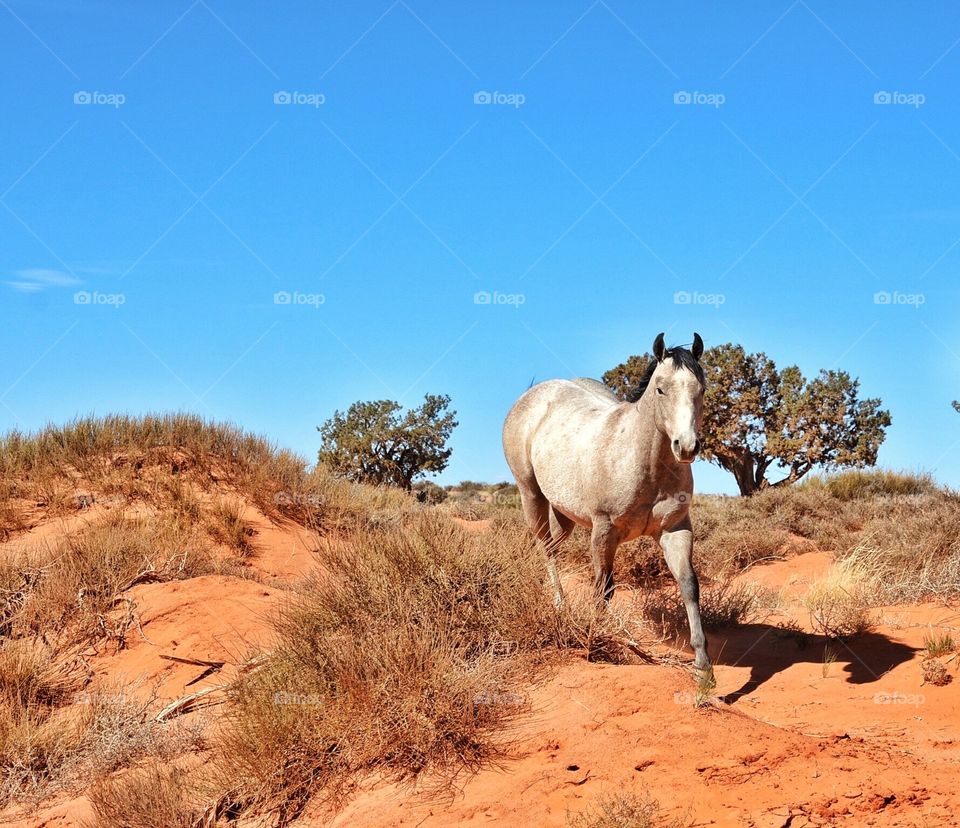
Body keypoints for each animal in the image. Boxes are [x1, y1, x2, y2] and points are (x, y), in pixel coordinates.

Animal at [502, 334, 712, 676]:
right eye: (661, 389)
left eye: (701, 389)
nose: (687, 446)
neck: (645, 462)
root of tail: (531, 394)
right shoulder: (603, 531)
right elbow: (603, 589)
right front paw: (597, 642)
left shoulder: (676, 529)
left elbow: (689, 585)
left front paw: (703, 667)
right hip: (530, 494)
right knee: (546, 549)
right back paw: (559, 605)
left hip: (565, 514)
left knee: (550, 546)